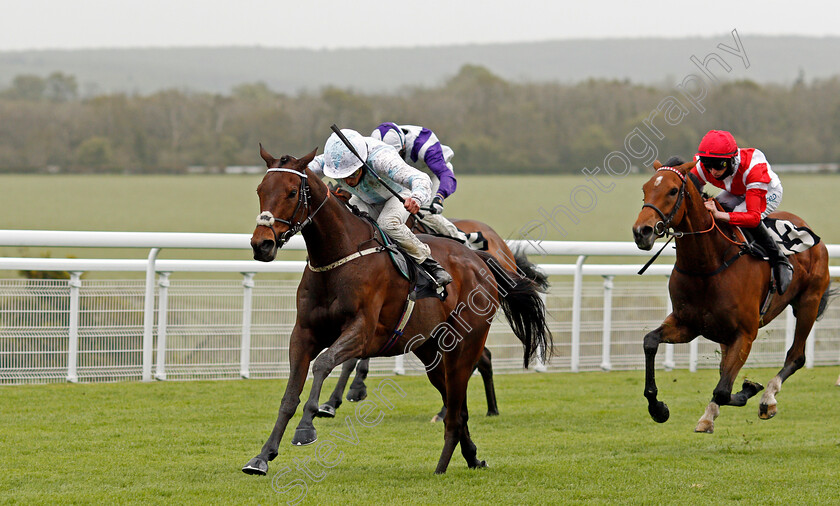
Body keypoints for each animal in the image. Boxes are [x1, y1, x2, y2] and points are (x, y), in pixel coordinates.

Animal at [241, 147, 552, 474]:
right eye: (260, 190)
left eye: (291, 192)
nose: (262, 244)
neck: (339, 256)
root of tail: (480, 258)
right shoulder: (303, 334)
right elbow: (289, 395)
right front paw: (262, 456)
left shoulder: (362, 332)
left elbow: (326, 363)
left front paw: (309, 424)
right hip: (431, 350)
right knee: (458, 406)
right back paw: (472, 456)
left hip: (463, 345)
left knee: (460, 402)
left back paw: (443, 464)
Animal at [632, 157, 832, 430]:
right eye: (644, 189)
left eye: (673, 191)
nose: (642, 231)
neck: (707, 265)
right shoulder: (688, 324)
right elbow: (650, 341)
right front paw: (658, 408)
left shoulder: (745, 333)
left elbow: (723, 390)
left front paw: (750, 390)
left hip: (808, 302)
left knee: (796, 356)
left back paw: (768, 398)